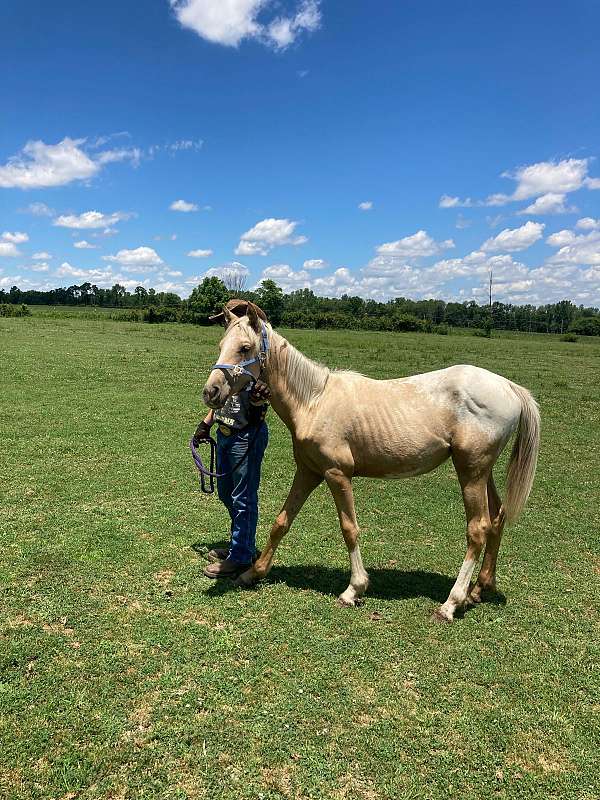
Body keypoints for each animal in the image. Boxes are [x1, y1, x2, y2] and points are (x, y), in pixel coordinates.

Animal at [204, 306, 540, 624]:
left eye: (245, 347)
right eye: (221, 344)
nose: (211, 392)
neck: (314, 401)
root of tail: (509, 387)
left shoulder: (337, 474)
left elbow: (349, 528)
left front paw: (354, 589)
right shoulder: (308, 472)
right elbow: (281, 522)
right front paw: (252, 573)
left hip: (471, 472)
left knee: (478, 529)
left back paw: (451, 604)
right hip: (483, 472)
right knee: (497, 518)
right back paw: (479, 590)